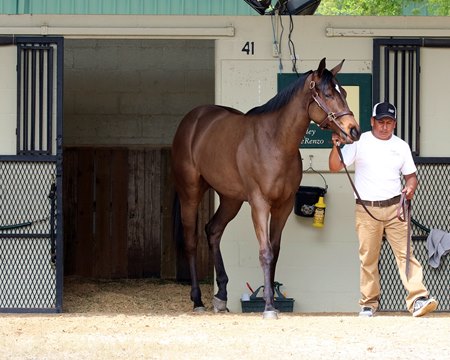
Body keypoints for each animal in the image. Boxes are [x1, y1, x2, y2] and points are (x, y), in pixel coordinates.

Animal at [171, 57, 360, 320]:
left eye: (344, 92)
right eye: (327, 94)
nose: (354, 131)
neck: (275, 142)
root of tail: (193, 120)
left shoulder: (284, 205)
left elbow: (276, 251)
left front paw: (273, 301)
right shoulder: (260, 203)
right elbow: (265, 252)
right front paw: (269, 307)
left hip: (230, 199)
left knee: (213, 230)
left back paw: (221, 296)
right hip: (190, 192)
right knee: (191, 240)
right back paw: (198, 300)